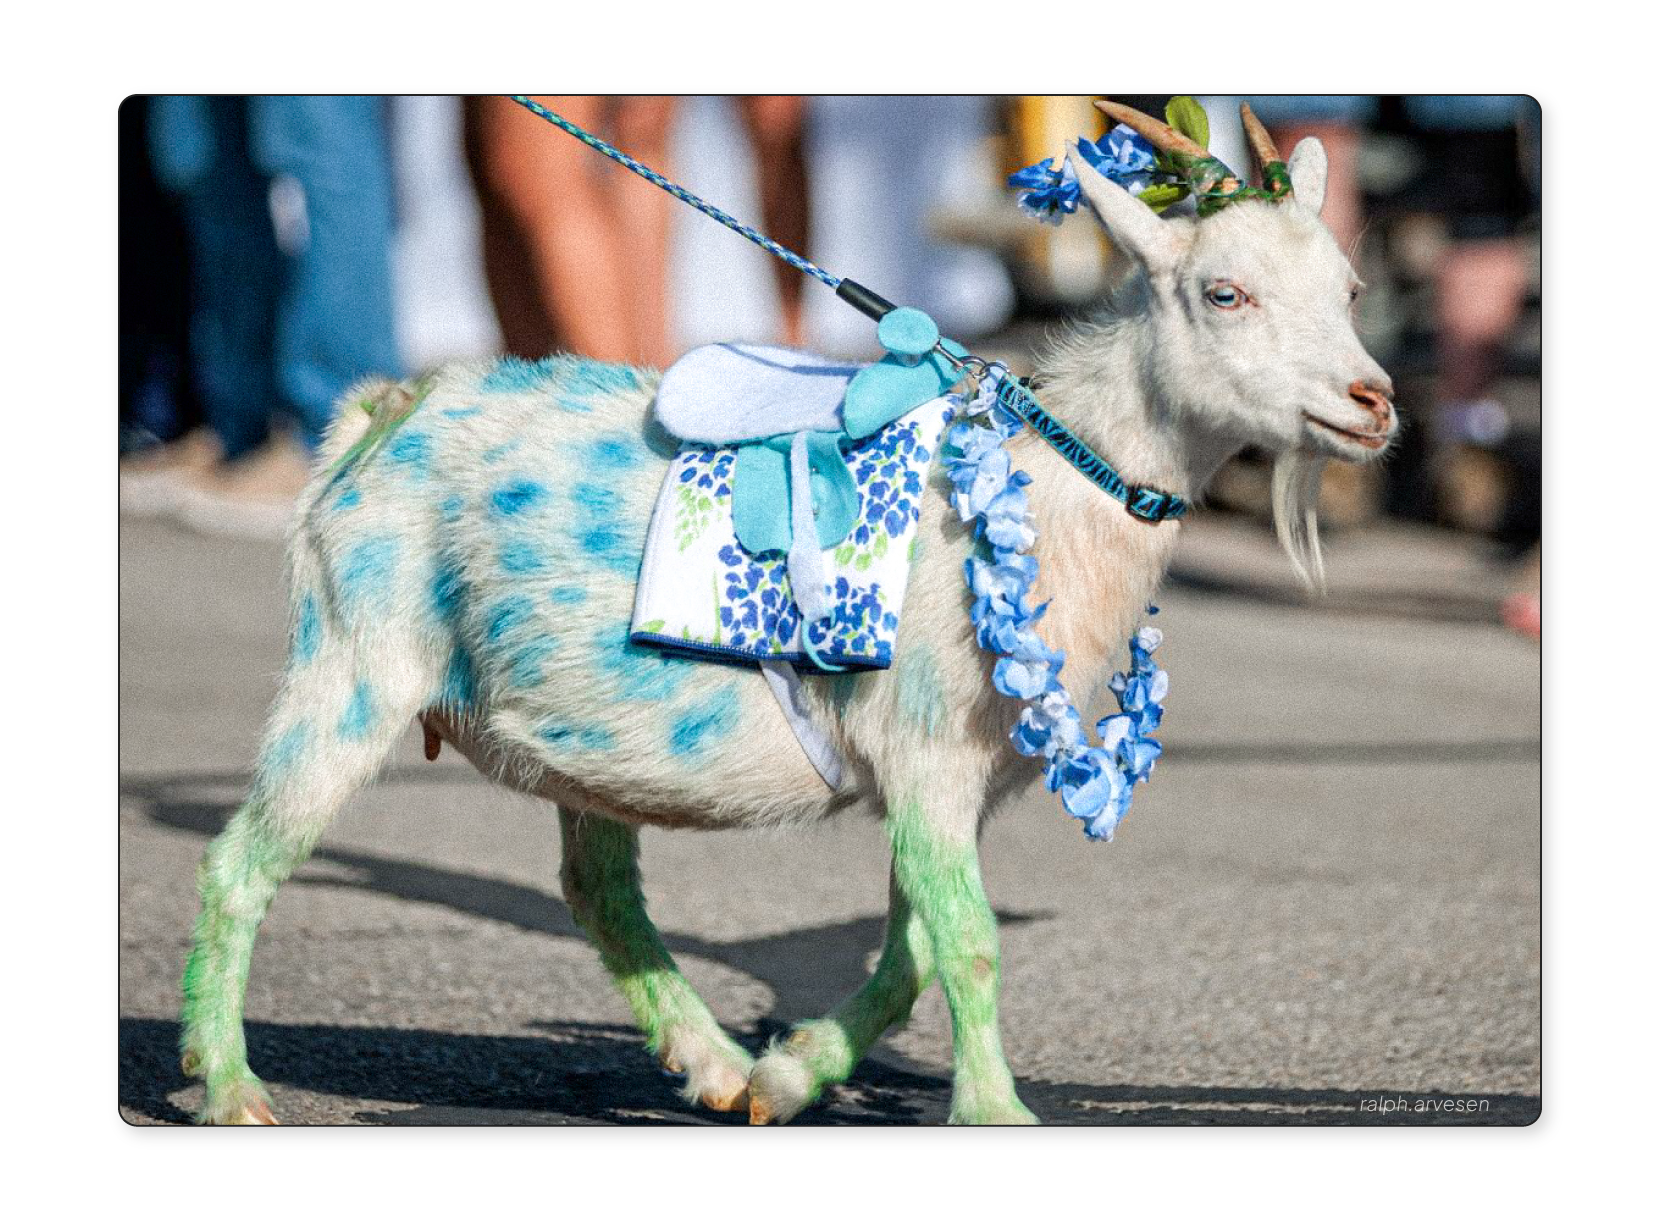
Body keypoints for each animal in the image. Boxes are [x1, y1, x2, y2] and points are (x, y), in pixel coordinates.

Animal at [178, 102, 1396, 1125]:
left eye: (1348, 289)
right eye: (1223, 293)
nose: (1374, 403)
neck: (1046, 486)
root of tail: (380, 413)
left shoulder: (952, 777)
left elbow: (914, 951)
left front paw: (790, 1073)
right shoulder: (926, 750)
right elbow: (968, 944)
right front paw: (993, 1111)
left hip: (566, 728)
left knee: (598, 889)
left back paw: (715, 1064)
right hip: (355, 661)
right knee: (241, 862)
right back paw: (229, 1084)